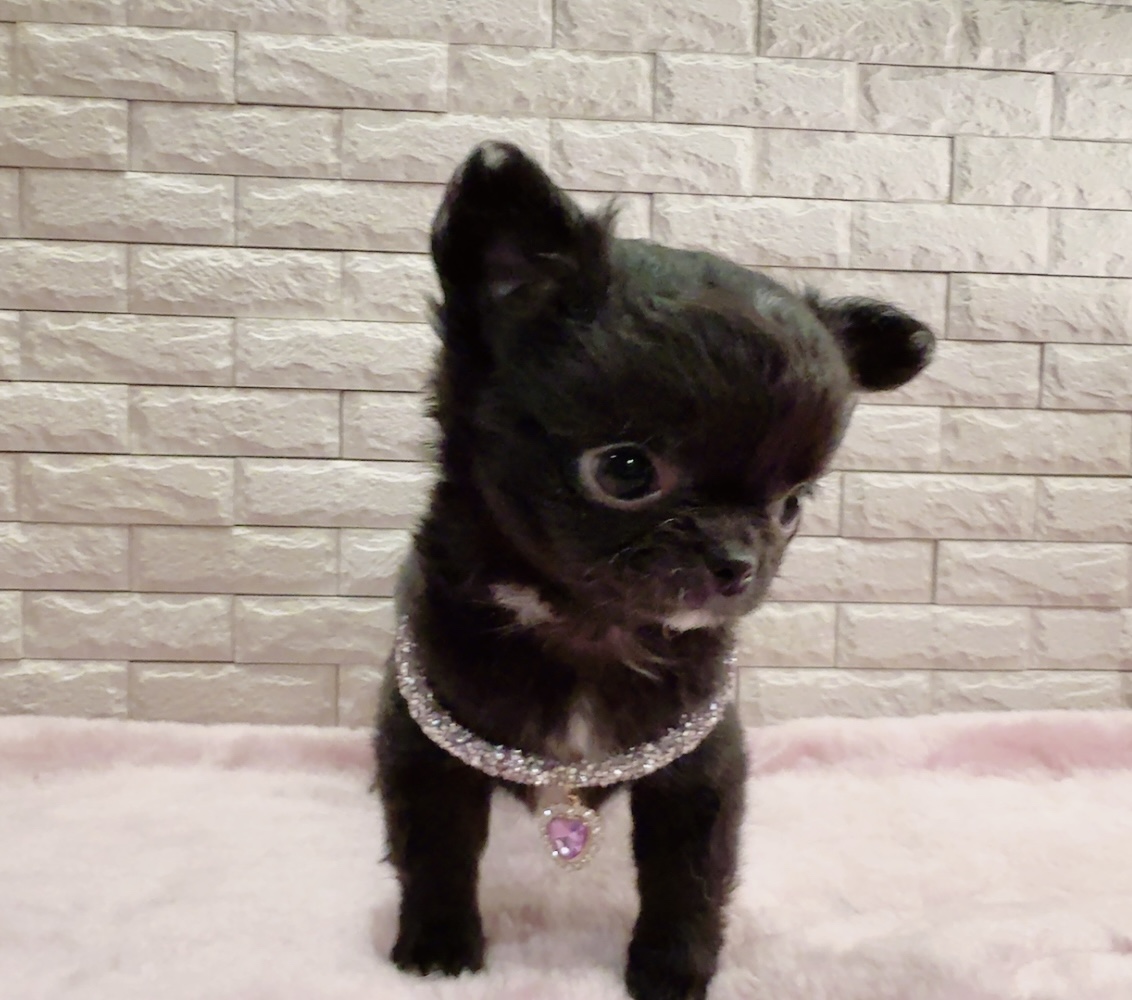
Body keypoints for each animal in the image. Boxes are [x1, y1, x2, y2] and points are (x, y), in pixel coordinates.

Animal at [374, 142, 934, 1000]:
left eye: (792, 506)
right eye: (626, 470)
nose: (738, 563)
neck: (587, 628)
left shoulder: (696, 773)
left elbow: (689, 879)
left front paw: (673, 971)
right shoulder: (425, 746)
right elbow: (435, 851)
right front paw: (437, 948)